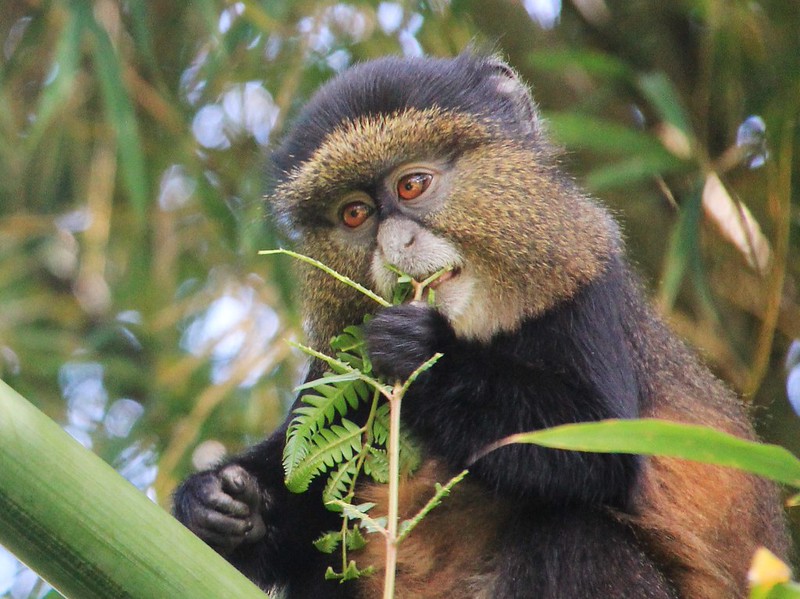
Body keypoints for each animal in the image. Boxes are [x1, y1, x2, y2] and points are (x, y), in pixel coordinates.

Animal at [173, 53, 788, 598]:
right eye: (354, 214)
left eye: (412, 185)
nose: (394, 245)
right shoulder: (338, 365)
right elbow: (306, 501)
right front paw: (218, 502)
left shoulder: (589, 290)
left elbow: (600, 447)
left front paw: (421, 351)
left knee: (574, 533)